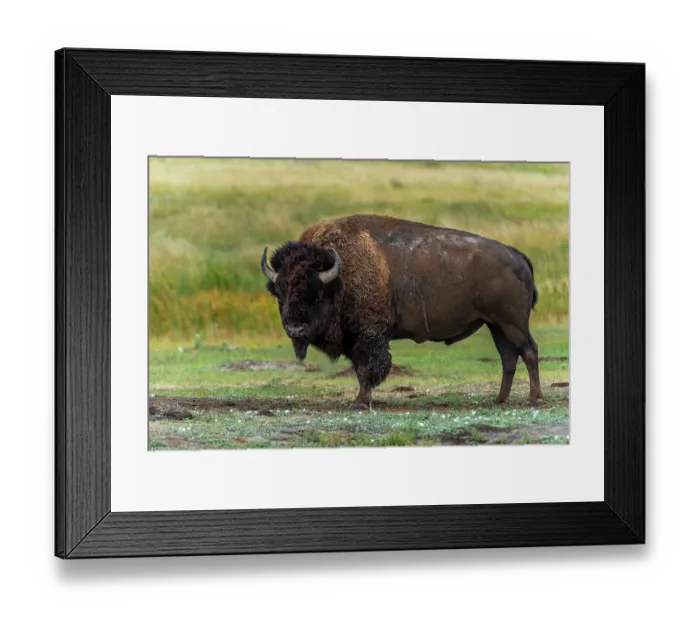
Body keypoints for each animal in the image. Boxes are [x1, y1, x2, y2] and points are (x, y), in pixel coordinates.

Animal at [261, 214, 544, 409]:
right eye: (280, 292)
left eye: (316, 292)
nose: (295, 328)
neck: (339, 277)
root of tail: (516, 255)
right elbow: (360, 369)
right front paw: (362, 399)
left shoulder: (369, 336)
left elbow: (366, 369)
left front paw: (360, 402)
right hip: (496, 326)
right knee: (509, 357)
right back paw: (499, 399)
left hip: (513, 324)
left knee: (529, 351)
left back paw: (533, 398)